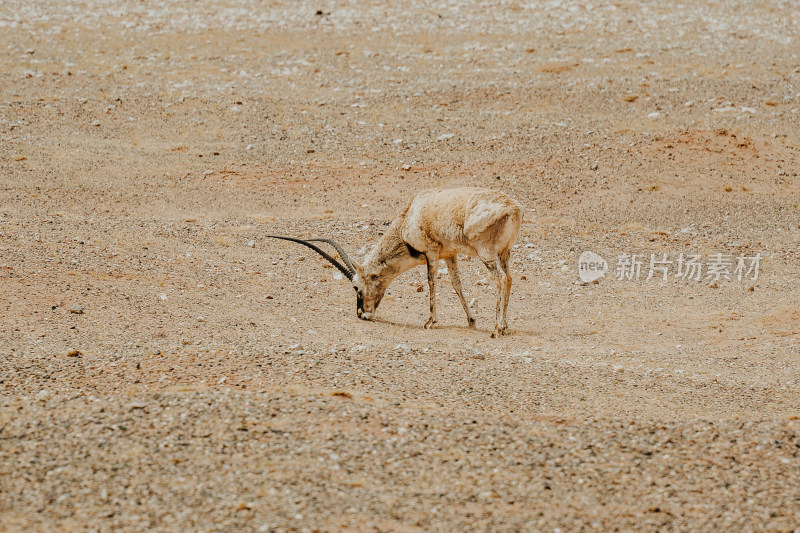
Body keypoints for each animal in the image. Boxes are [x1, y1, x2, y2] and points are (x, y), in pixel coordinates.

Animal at [268, 187, 524, 336]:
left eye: (356, 287)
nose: (362, 314)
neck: (408, 216)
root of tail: (513, 208)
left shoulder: (431, 253)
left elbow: (431, 282)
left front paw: (430, 322)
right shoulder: (449, 254)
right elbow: (456, 285)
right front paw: (471, 320)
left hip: (486, 253)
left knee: (500, 279)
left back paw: (497, 328)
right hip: (504, 253)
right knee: (510, 278)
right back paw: (505, 325)